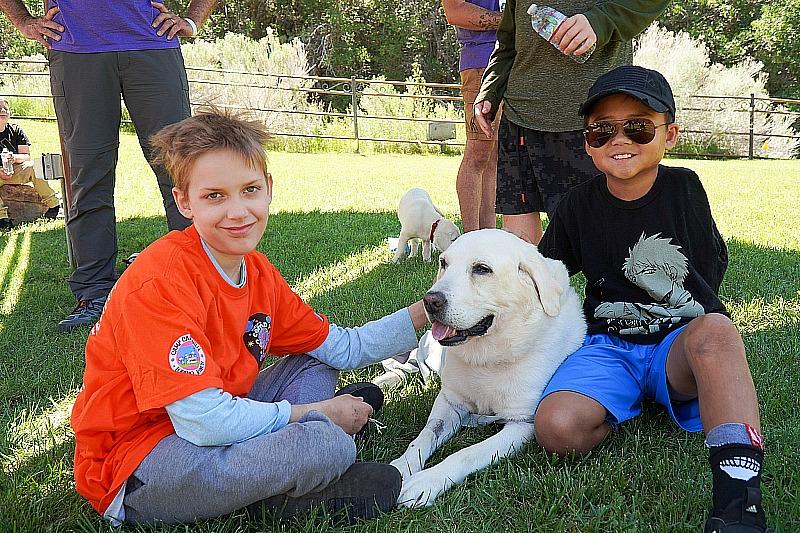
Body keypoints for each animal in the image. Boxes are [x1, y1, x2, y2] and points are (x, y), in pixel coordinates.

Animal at [390, 229, 584, 508]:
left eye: (482, 269)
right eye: (443, 263)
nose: (430, 301)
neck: (487, 360)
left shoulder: (521, 424)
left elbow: (466, 453)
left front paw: (426, 482)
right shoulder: (449, 403)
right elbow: (422, 438)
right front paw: (399, 468)